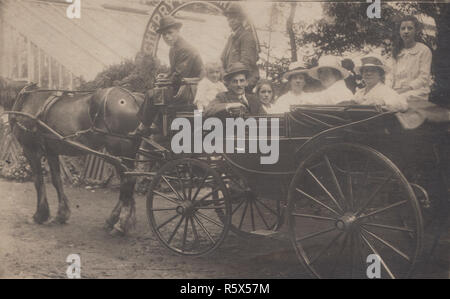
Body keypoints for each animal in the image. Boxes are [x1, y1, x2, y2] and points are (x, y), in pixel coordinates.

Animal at [0, 78, 144, 236]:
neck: (26, 99)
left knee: (128, 180)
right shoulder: (51, 152)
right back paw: (113, 220)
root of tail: (134, 98)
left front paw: (40, 215)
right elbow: (57, 180)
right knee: (127, 182)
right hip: (122, 155)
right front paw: (61, 214)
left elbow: (38, 181)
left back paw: (120, 224)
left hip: (118, 151)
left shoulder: (31, 150)